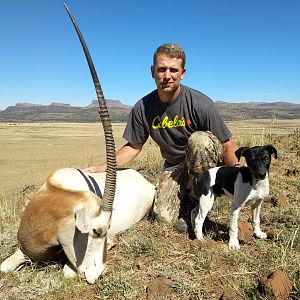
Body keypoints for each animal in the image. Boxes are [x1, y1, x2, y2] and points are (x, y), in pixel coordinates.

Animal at [0, 3, 155, 282]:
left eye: (107, 232)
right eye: (95, 231)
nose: (98, 273)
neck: (51, 198)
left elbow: (66, 272)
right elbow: (4, 266)